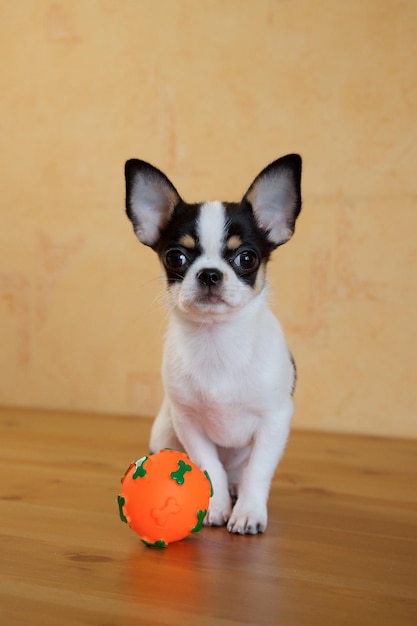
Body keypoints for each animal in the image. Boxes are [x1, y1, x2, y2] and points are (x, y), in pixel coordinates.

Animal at [122, 154, 300, 532]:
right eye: (175, 257)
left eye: (246, 258)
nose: (209, 274)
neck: (217, 340)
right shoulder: (189, 423)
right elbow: (209, 467)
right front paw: (216, 506)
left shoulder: (273, 422)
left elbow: (257, 472)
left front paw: (247, 512)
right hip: (165, 433)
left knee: (240, 472)